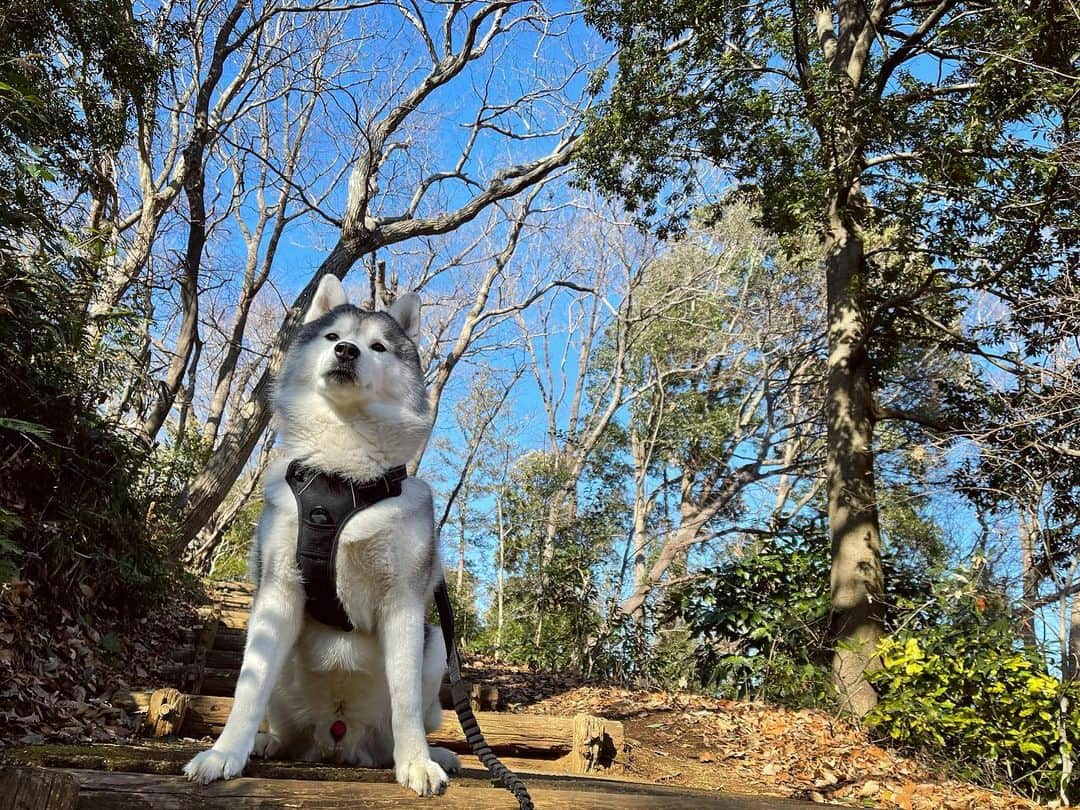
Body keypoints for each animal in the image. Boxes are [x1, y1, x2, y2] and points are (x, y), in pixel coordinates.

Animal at [185, 276, 455, 794]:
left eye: (379, 346)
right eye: (334, 337)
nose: (347, 351)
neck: (340, 476)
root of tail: (337, 738)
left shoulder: (404, 603)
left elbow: (406, 701)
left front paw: (417, 761)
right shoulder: (277, 591)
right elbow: (249, 686)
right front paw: (225, 753)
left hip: (435, 647)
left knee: (405, 720)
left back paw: (436, 754)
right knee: (278, 716)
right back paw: (266, 742)